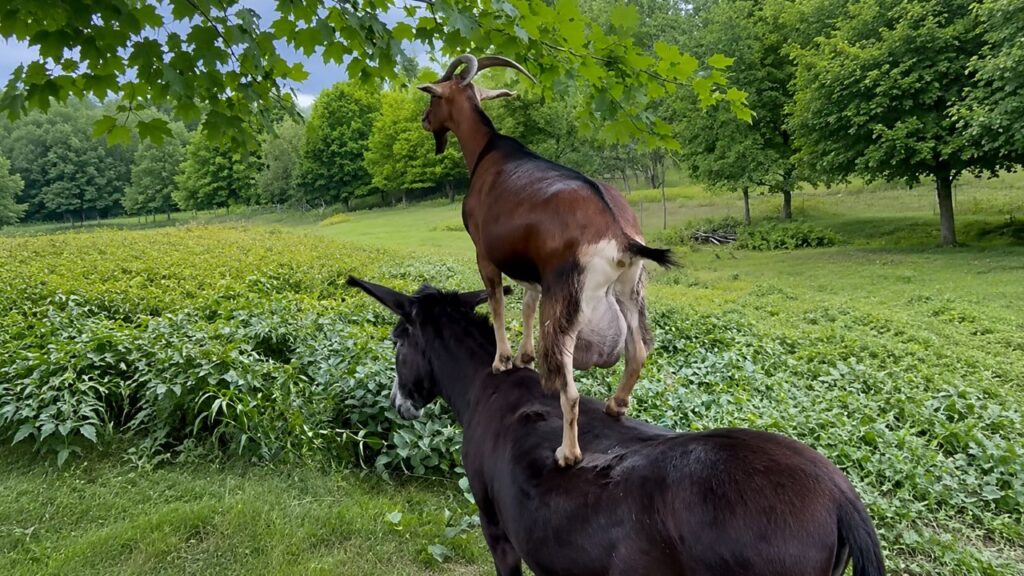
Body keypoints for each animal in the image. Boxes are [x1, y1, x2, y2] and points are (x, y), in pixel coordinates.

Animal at [417, 54, 675, 466]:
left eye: (434, 97)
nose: (426, 120)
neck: (487, 152)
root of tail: (620, 235)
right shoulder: (530, 270)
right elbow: (525, 304)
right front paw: (523, 356)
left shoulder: (484, 254)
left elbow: (497, 303)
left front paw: (503, 359)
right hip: (629, 288)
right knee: (637, 351)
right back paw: (616, 405)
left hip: (565, 298)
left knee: (569, 388)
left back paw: (568, 453)